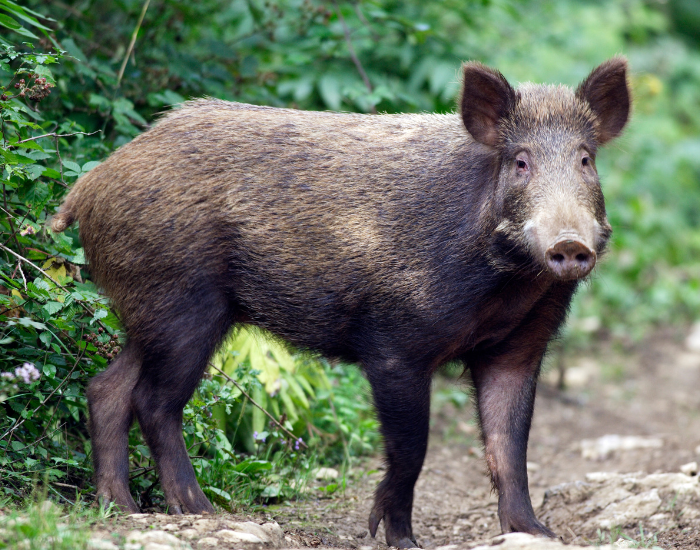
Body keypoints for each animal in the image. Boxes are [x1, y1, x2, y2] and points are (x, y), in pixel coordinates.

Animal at [50, 57, 630, 547]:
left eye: (585, 160)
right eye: (521, 162)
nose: (569, 243)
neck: (509, 287)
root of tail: (87, 187)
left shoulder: (519, 347)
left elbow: (510, 447)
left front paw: (536, 533)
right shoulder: (394, 345)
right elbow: (412, 448)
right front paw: (400, 539)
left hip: (150, 313)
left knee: (107, 389)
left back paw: (122, 509)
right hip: (183, 305)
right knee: (153, 401)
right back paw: (200, 512)